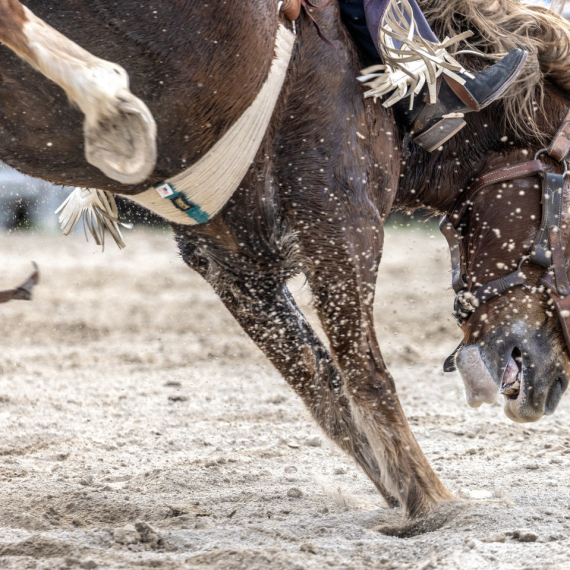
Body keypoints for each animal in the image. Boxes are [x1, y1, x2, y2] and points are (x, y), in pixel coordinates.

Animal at [0, 0, 564, 520]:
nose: (555, 380)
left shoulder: (233, 264)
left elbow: (321, 386)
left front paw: (400, 495)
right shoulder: (341, 216)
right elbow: (366, 375)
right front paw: (437, 502)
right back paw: (110, 102)